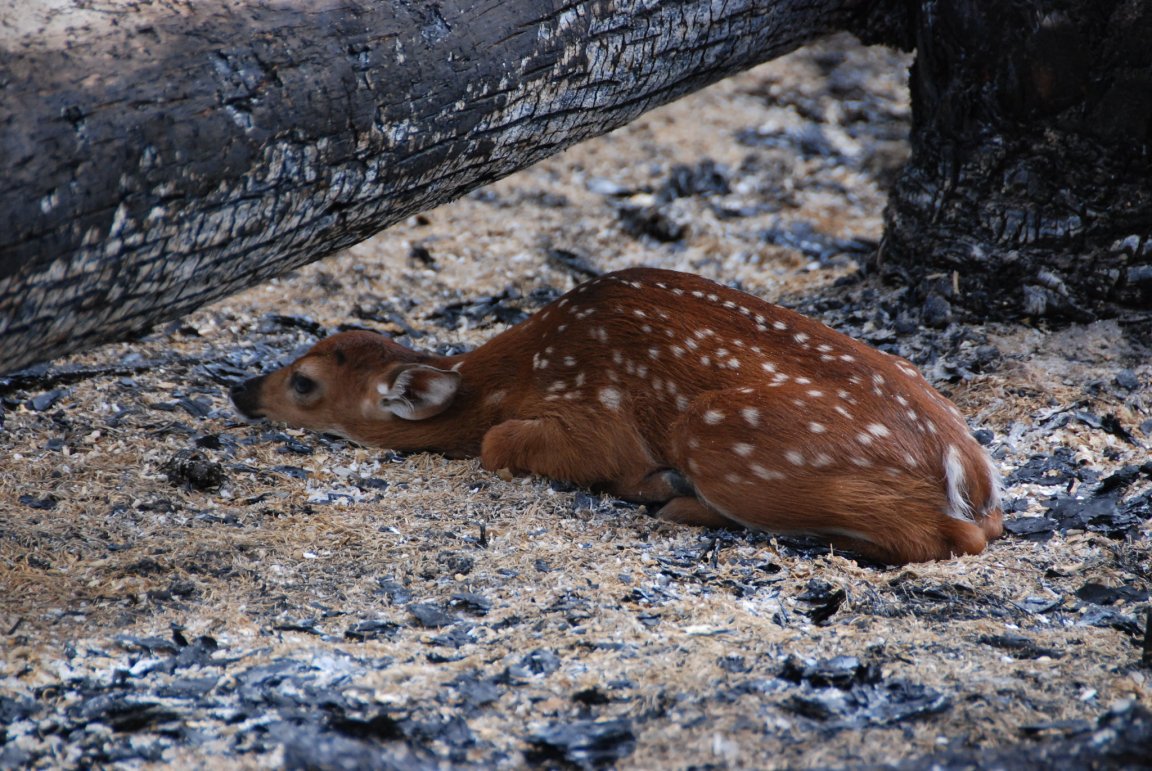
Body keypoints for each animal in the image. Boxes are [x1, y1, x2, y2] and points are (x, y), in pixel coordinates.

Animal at [230, 267, 1003, 564]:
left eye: (304, 381)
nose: (240, 389)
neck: (517, 373)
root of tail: (967, 476)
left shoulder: (593, 415)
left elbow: (498, 441)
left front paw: (648, 482)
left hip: (724, 440)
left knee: (937, 537)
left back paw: (678, 500)